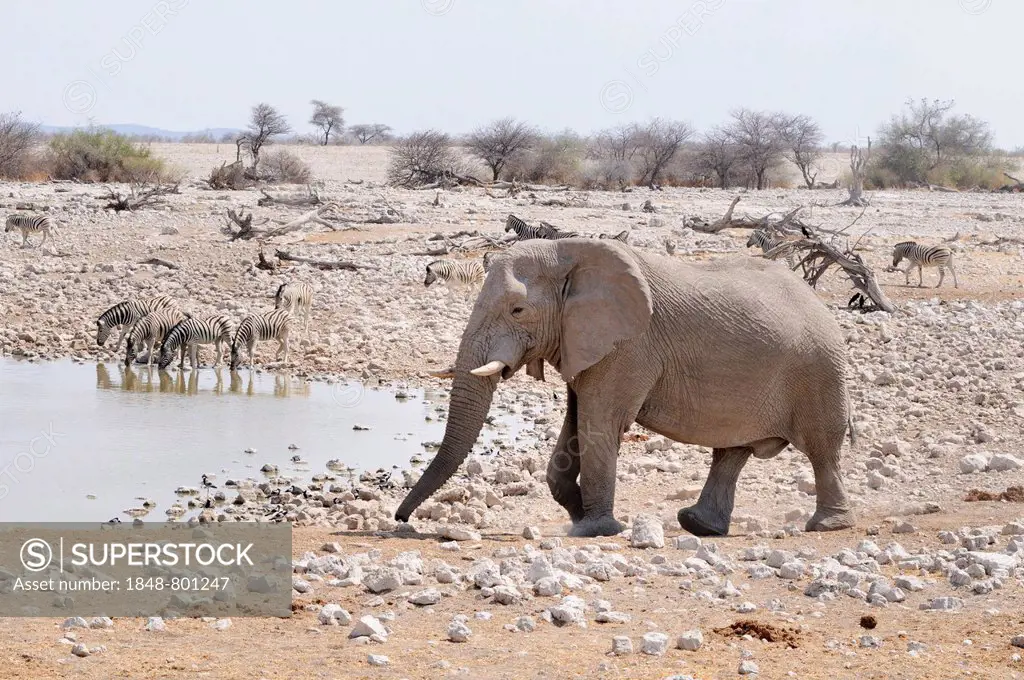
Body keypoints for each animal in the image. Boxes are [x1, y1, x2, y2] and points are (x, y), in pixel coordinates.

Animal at [395, 238, 860, 536]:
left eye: (518, 310)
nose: (402, 522)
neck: (569, 253)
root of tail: (823, 306)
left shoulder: (629, 345)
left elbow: (600, 422)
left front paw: (594, 529)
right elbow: (576, 420)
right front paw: (578, 512)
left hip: (819, 371)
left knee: (822, 449)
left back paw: (828, 525)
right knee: (731, 452)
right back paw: (698, 525)